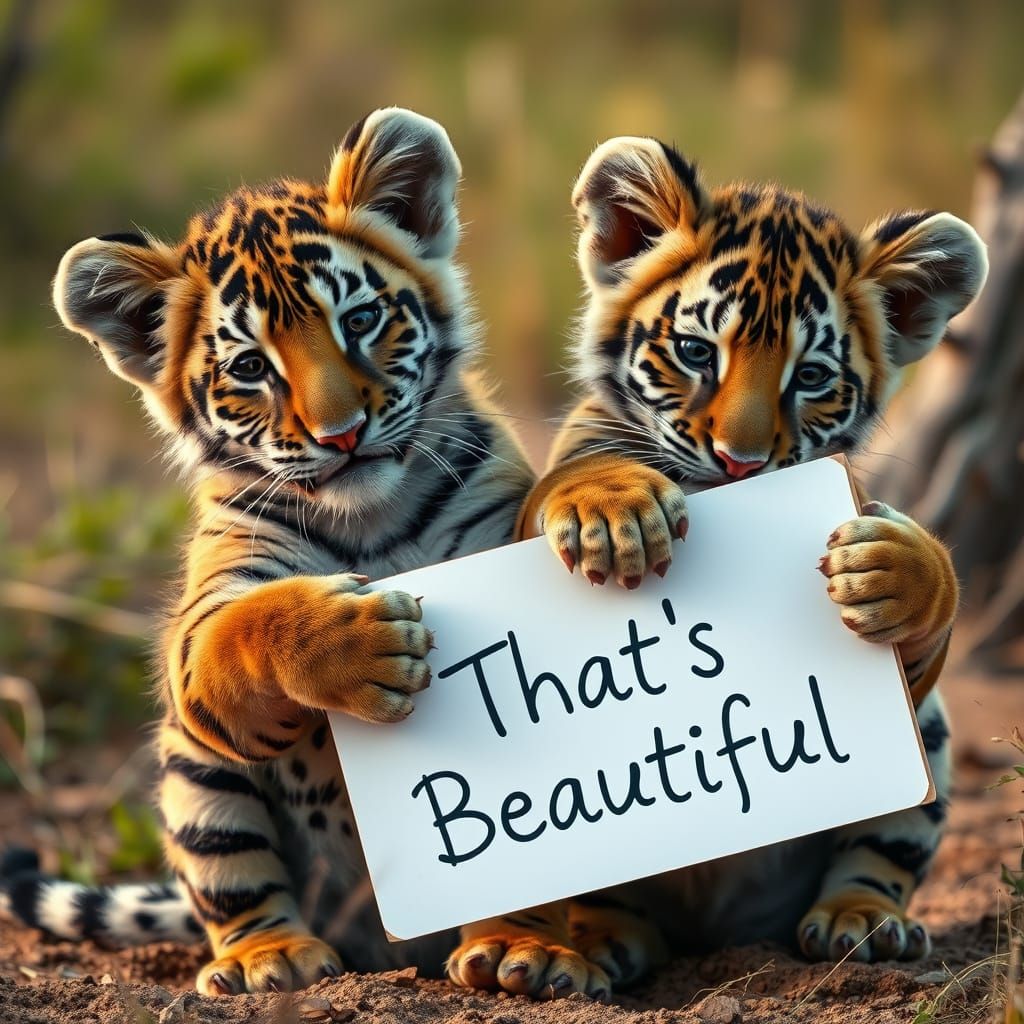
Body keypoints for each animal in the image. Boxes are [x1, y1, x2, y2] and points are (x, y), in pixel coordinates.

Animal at [0, 108, 536, 996]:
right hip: (195, 775)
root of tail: (396, 952)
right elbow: (246, 629)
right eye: (251, 367)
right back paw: (270, 959)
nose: (342, 435)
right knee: (235, 890)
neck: (372, 519)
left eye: (360, 321)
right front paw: (364, 644)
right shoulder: (206, 622)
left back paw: (517, 947)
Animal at [442, 136, 986, 999]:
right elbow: (579, 476)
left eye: (811, 376)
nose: (741, 462)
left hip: (923, 745)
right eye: (697, 352)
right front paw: (614, 511)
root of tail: (718, 934)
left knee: (877, 859)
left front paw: (900, 569)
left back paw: (863, 924)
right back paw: (569, 948)